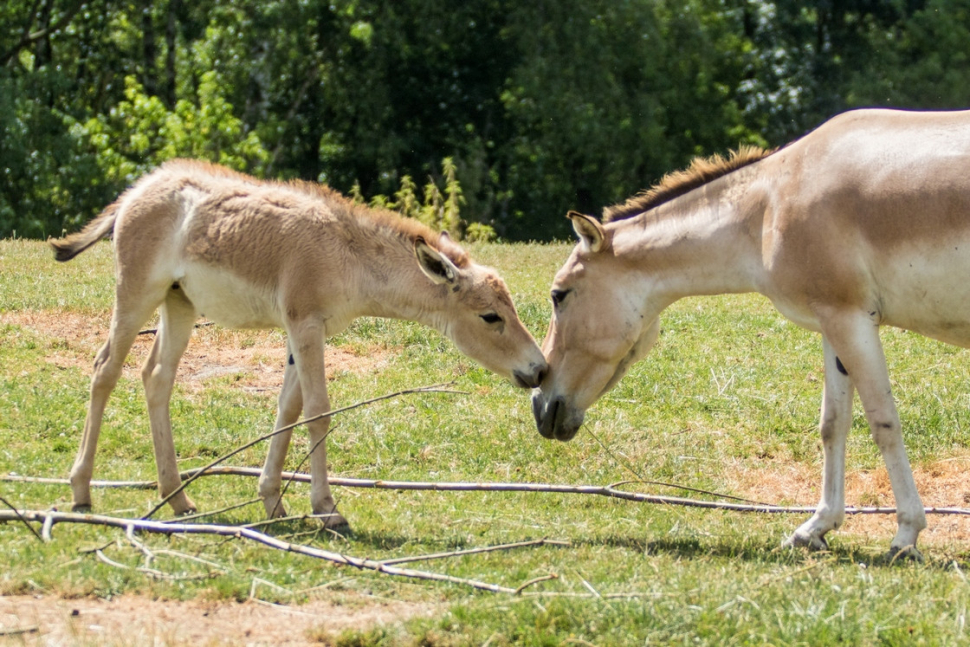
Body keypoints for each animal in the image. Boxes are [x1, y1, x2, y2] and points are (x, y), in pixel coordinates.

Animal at [51, 159, 544, 528]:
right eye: (491, 317)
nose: (539, 369)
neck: (348, 256)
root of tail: (138, 190)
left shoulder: (305, 332)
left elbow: (288, 408)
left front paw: (273, 500)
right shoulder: (305, 324)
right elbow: (318, 410)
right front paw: (327, 509)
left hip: (180, 304)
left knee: (156, 377)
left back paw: (178, 499)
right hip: (137, 294)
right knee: (105, 370)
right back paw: (81, 491)